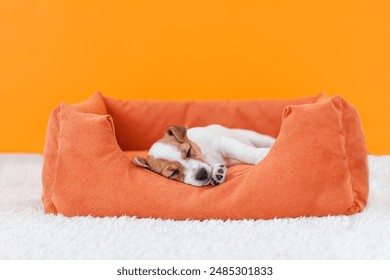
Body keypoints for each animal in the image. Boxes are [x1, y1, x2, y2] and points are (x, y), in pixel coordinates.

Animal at [133, 124, 276, 186]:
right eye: (173, 173)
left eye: (189, 151)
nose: (201, 174)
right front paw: (217, 174)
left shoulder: (223, 143)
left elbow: (245, 152)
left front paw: (263, 155)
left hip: (254, 136)